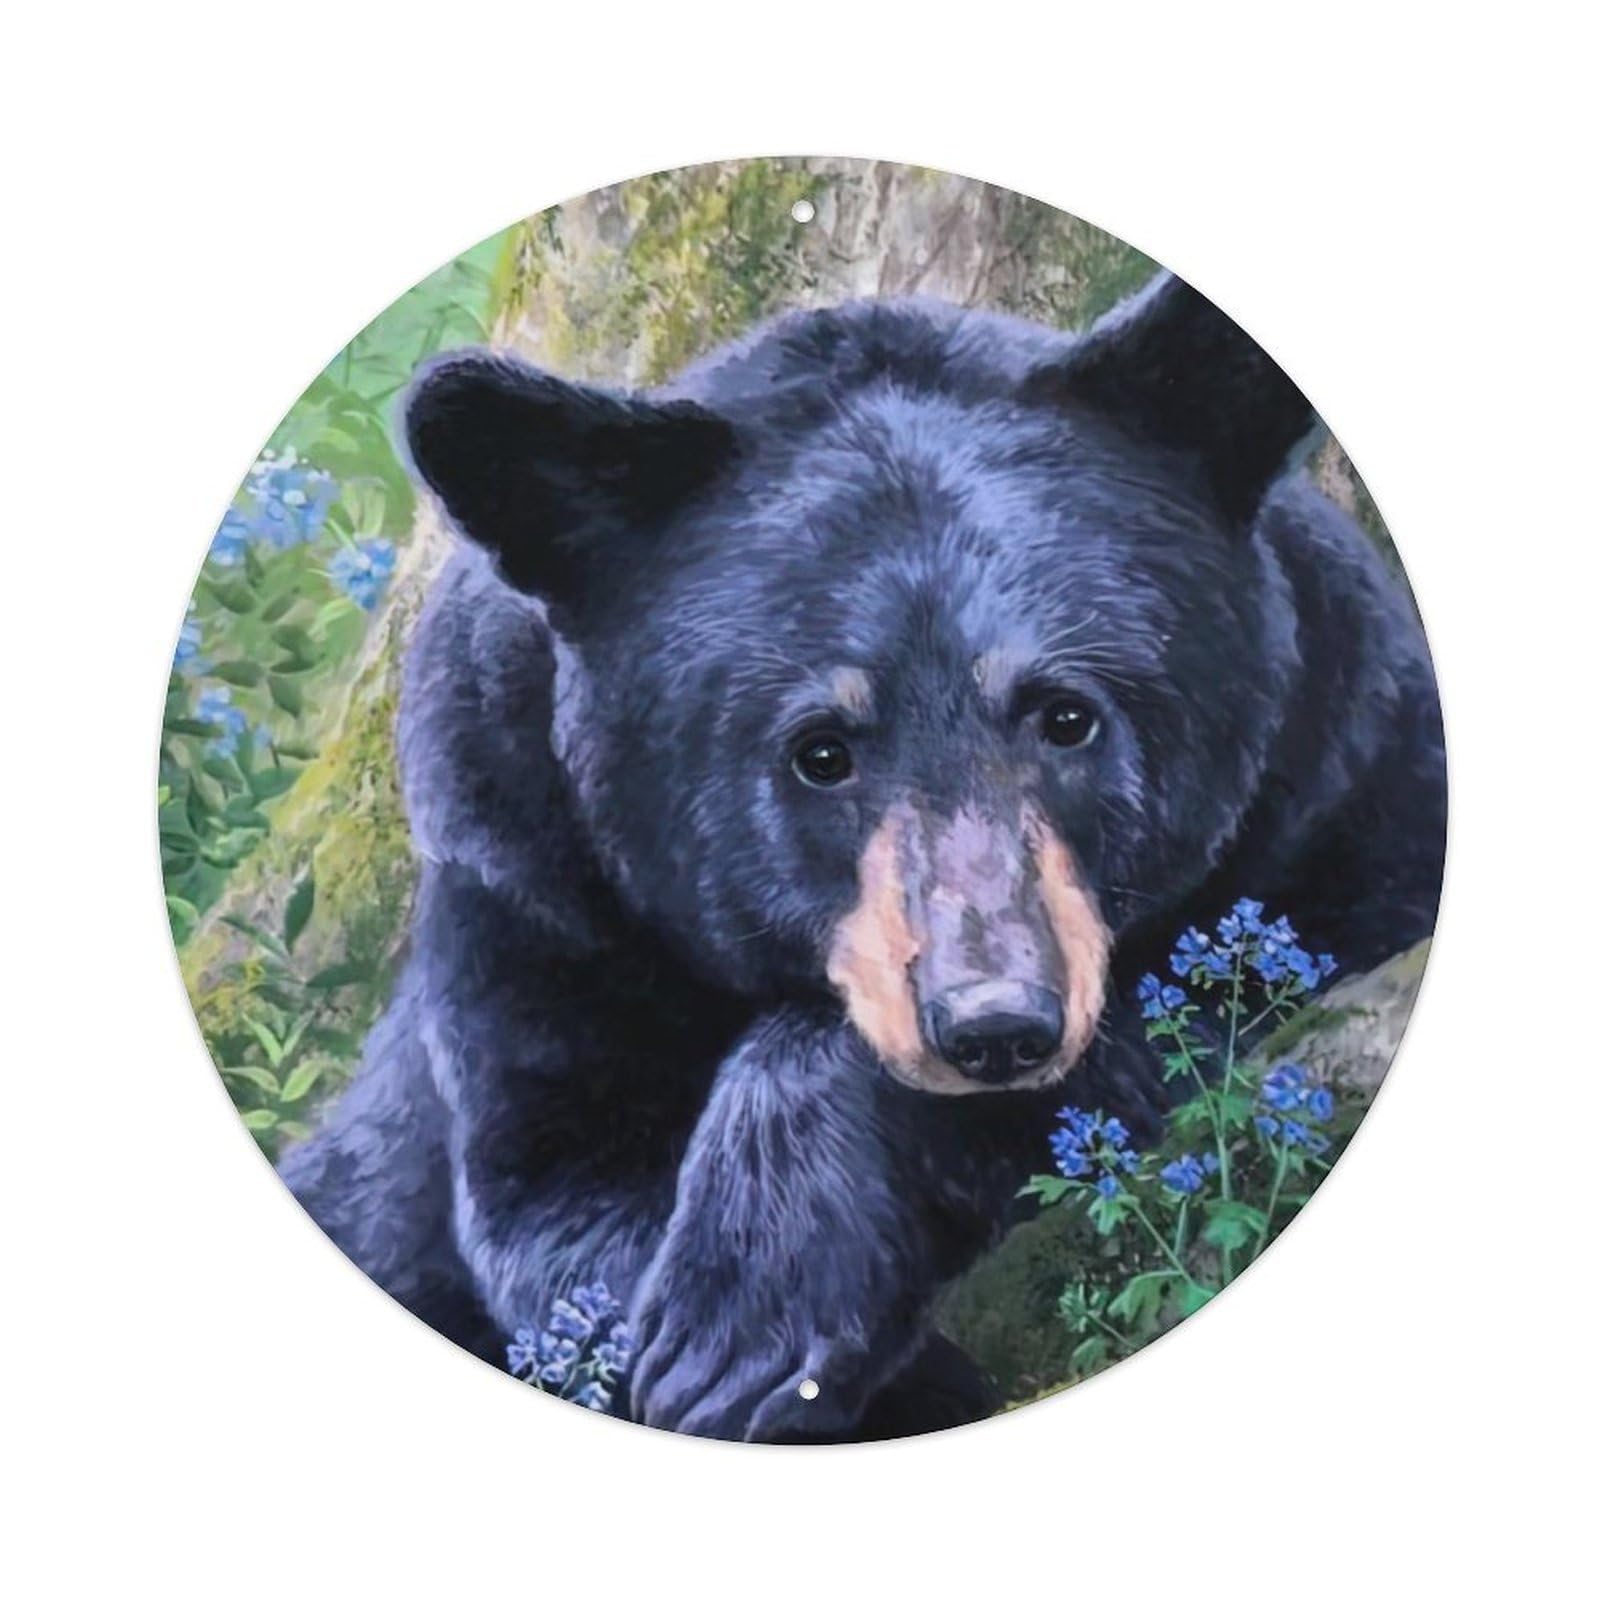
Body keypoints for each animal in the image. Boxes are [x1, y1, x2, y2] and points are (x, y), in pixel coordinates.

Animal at [279, 272, 1446, 1442]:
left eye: (1067, 715)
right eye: (820, 752)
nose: (994, 1026)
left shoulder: (1347, 774)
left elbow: (1224, 1002)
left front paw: (748, 1311)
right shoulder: (528, 878)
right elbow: (558, 1196)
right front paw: (739, 1355)